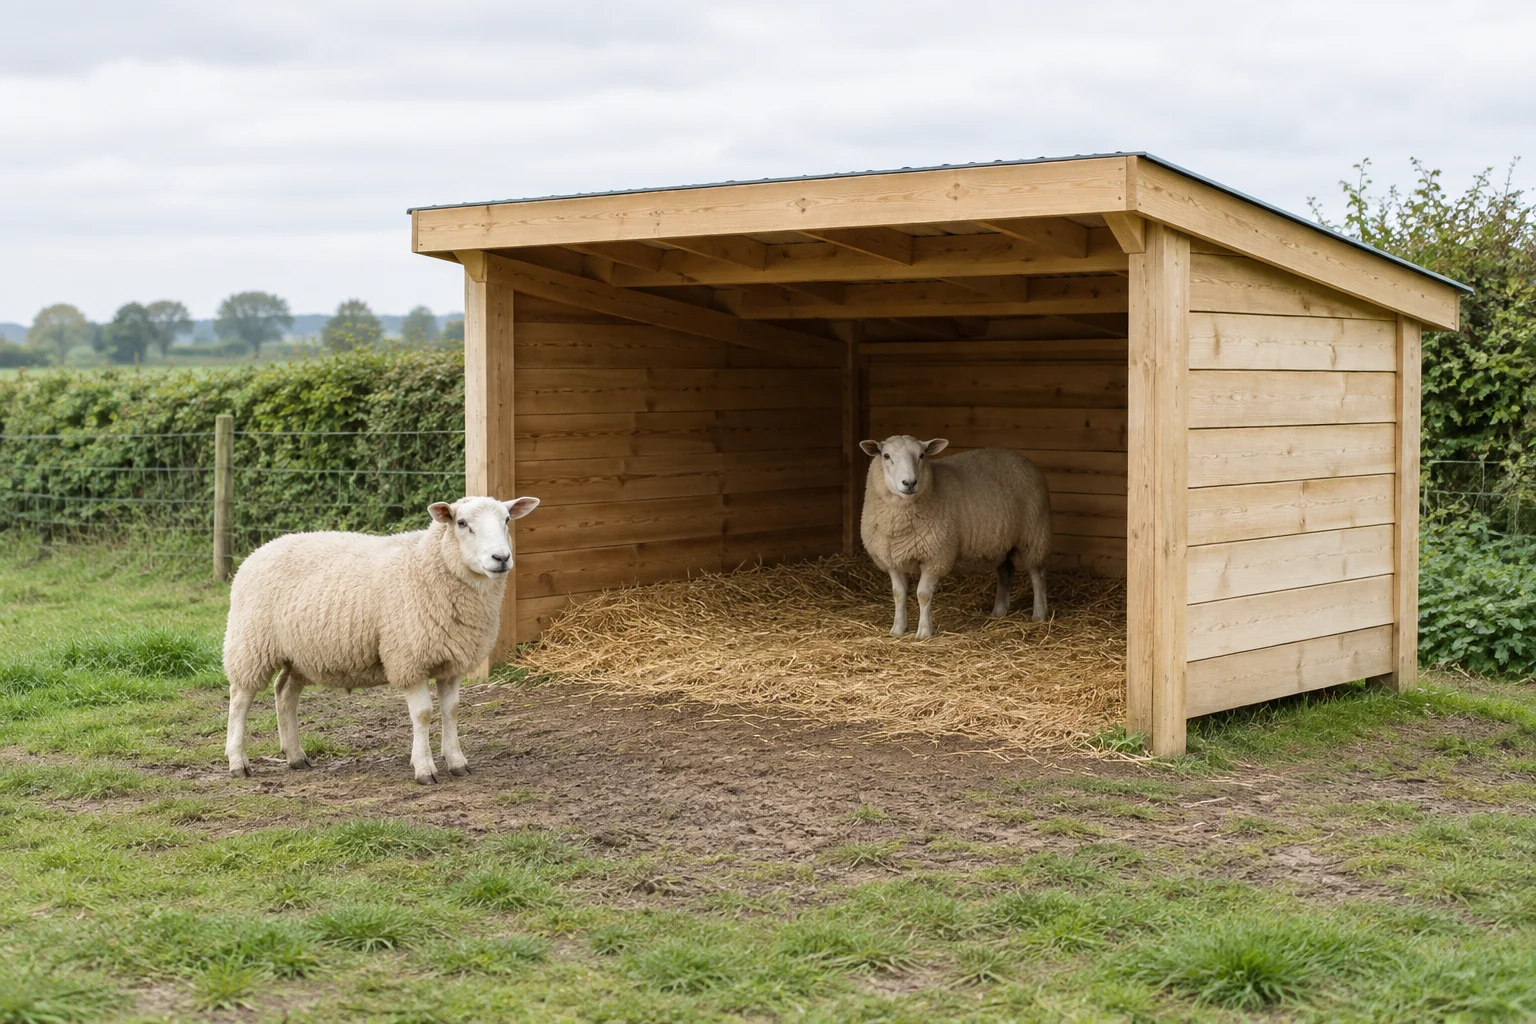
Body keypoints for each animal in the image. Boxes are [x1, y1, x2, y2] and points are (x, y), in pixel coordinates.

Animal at [222, 495, 540, 785]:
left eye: (507, 520)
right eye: (461, 523)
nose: (501, 558)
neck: (427, 564)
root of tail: (261, 549)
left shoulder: (451, 662)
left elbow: (451, 711)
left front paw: (457, 762)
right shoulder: (408, 659)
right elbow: (423, 714)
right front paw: (424, 769)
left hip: (301, 653)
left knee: (285, 692)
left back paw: (295, 756)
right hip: (250, 644)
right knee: (240, 699)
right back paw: (237, 762)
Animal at [859, 435, 1051, 638]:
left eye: (922, 455)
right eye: (886, 456)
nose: (910, 483)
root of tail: (1025, 460)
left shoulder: (935, 557)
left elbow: (923, 594)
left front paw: (924, 632)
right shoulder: (892, 559)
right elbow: (898, 594)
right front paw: (897, 629)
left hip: (1035, 535)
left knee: (1037, 575)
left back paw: (1039, 614)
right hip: (1001, 544)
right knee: (1005, 573)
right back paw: (998, 612)